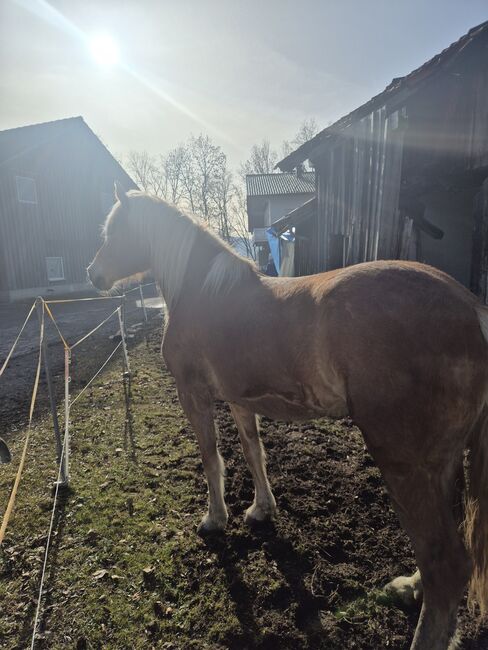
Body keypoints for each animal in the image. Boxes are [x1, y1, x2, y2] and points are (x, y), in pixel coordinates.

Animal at [88, 183, 488, 650]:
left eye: (113, 232)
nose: (93, 274)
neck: (201, 290)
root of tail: (472, 311)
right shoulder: (240, 399)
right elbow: (252, 453)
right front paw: (261, 510)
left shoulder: (195, 396)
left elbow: (210, 458)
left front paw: (215, 519)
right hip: (442, 463)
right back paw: (411, 587)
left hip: (405, 462)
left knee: (446, 563)